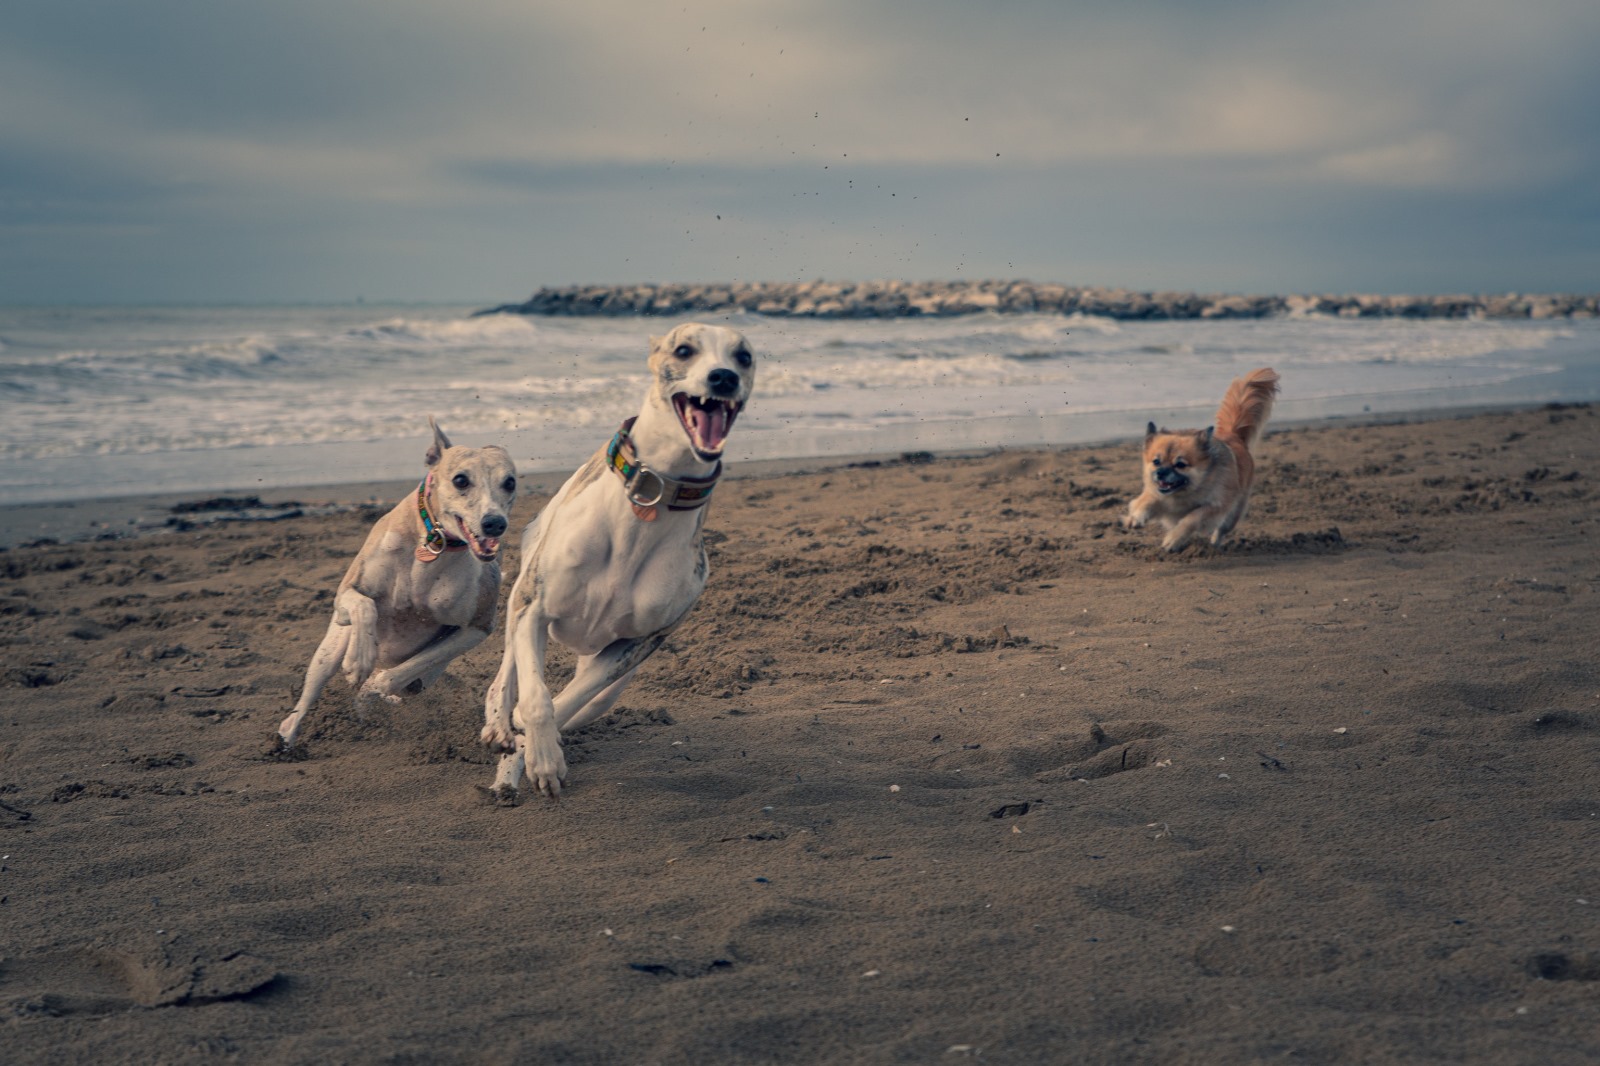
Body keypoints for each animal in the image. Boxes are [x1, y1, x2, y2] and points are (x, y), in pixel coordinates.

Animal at [276, 419, 518, 752]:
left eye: (510, 482)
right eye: (460, 480)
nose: (494, 523)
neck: (435, 544)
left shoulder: (477, 627)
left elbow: (389, 678)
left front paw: (367, 693)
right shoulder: (346, 592)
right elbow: (364, 605)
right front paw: (358, 660)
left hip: (425, 678)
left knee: (404, 681)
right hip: (329, 649)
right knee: (308, 694)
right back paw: (287, 736)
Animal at [480, 320, 755, 793]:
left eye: (745, 357)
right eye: (685, 350)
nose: (723, 377)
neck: (650, 501)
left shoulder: (636, 644)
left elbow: (570, 700)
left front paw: (542, 751)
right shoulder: (535, 608)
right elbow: (535, 698)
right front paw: (542, 756)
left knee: (586, 703)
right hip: (522, 588)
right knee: (508, 674)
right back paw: (501, 733)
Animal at [1126, 368, 1286, 550]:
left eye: (1180, 465)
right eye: (1156, 462)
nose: (1160, 473)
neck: (1183, 493)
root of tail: (1233, 436)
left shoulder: (1215, 507)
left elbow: (1192, 518)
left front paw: (1174, 539)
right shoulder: (1157, 494)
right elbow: (1145, 501)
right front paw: (1135, 517)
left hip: (1232, 515)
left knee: (1221, 530)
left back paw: (1215, 544)